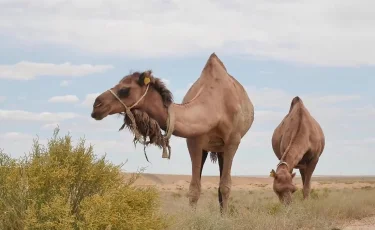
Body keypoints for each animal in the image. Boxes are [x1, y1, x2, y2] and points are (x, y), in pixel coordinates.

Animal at [91, 53, 256, 213]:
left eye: (125, 90)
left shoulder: (233, 141)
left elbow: (225, 187)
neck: (215, 106)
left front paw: (224, 219)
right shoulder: (194, 141)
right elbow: (194, 189)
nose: (96, 106)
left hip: (222, 148)